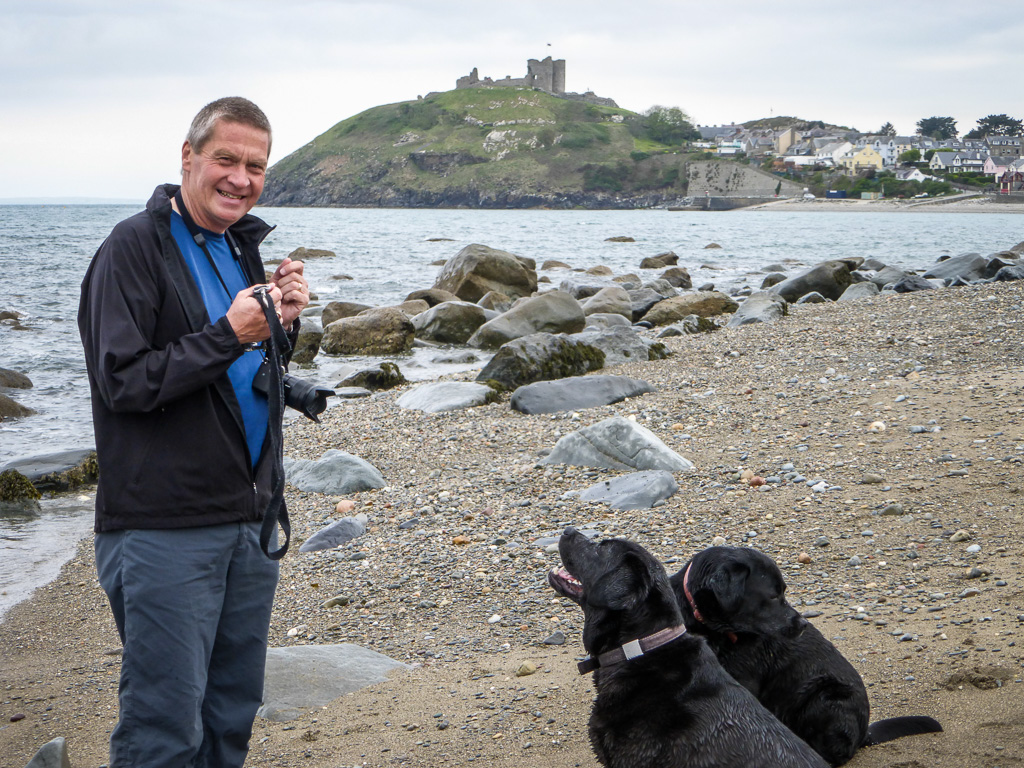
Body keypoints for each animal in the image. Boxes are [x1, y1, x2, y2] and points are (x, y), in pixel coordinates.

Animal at [671, 548, 942, 768]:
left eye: (783, 593)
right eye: (773, 596)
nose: (803, 624)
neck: (713, 628)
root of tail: (865, 733)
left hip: (825, 696)